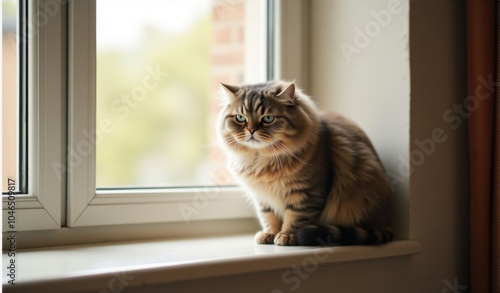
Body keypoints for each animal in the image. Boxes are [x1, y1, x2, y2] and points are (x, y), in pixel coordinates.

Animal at [217, 81, 392, 245]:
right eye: (240, 118)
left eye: (268, 118)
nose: (251, 130)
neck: (261, 160)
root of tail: (386, 224)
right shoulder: (263, 197)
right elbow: (269, 217)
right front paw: (270, 234)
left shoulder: (306, 193)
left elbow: (296, 217)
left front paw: (286, 236)